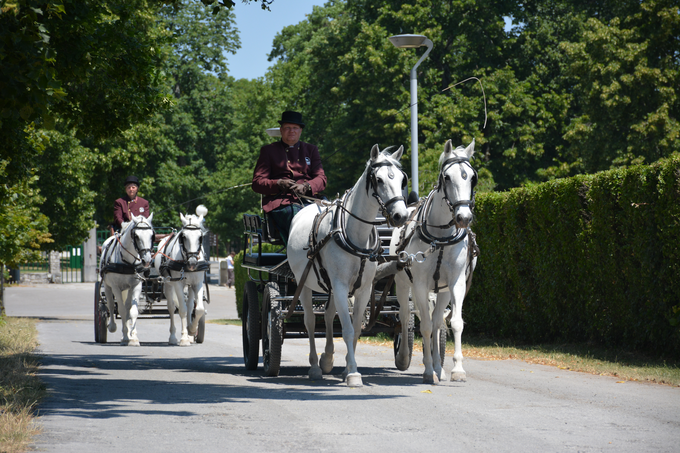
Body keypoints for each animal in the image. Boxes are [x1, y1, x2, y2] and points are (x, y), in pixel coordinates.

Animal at [99, 214, 155, 344]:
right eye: (136, 236)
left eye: (152, 235)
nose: (147, 260)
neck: (127, 262)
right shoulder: (116, 287)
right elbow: (121, 310)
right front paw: (125, 337)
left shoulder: (136, 286)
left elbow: (132, 311)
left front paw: (133, 336)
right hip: (108, 286)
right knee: (110, 304)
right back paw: (112, 326)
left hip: (128, 289)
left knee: (128, 306)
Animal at [155, 214, 209, 344]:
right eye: (183, 236)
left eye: (200, 237)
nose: (192, 263)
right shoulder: (178, 284)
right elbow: (182, 309)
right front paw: (184, 338)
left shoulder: (197, 283)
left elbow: (199, 309)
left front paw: (192, 330)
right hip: (168, 284)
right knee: (171, 307)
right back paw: (173, 337)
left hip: (189, 285)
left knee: (190, 305)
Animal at [288, 144, 410, 384]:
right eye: (379, 179)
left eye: (402, 179)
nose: (400, 216)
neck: (355, 235)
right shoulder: (341, 286)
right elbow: (346, 329)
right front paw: (353, 373)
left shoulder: (363, 289)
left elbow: (356, 328)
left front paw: (346, 368)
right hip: (303, 283)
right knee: (309, 321)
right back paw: (315, 366)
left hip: (330, 287)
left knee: (326, 316)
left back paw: (327, 359)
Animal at [390, 138, 476, 382]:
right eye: (447, 177)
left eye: (472, 177)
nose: (463, 217)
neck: (440, 239)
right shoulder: (419, 284)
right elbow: (425, 327)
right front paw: (428, 371)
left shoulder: (456, 283)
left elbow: (454, 323)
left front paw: (457, 369)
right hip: (403, 284)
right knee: (406, 316)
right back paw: (408, 357)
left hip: (442, 290)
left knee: (438, 321)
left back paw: (439, 367)